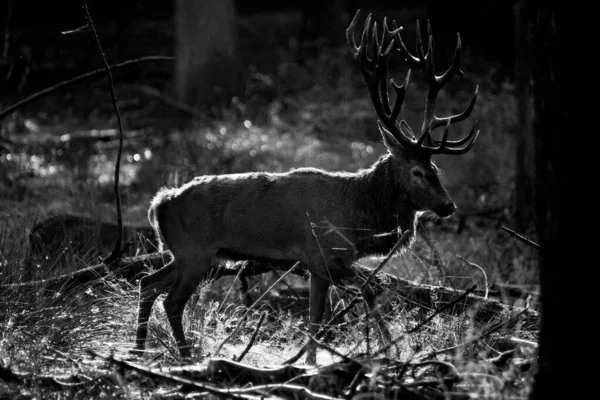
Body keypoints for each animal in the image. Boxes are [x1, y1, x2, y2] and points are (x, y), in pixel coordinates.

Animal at [130, 10, 478, 366]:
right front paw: (387, 348)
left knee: (147, 283)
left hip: (191, 254)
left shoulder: (316, 265)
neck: (358, 218)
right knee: (172, 300)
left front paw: (314, 361)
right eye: (418, 172)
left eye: (437, 169)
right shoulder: (323, 255)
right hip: (195, 252)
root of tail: (160, 203)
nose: (448, 205)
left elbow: (319, 314)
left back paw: (139, 349)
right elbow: (363, 290)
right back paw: (185, 355)